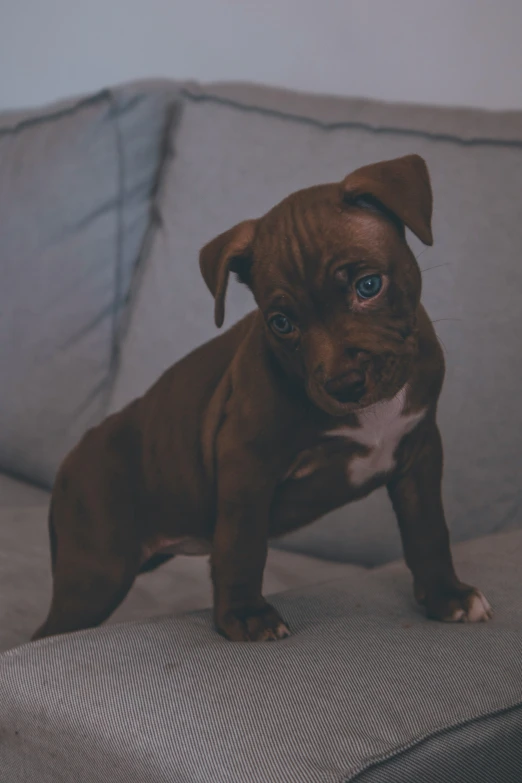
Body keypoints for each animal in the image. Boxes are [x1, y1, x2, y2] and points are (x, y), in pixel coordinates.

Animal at [33, 155, 492, 644]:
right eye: (281, 322)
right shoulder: (248, 462)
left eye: (369, 286)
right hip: (97, 571)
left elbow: (428, 528)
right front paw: (245, 614)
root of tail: (71, 459)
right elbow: (243, 543)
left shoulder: (420, 451)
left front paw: (447, 595)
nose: (344, 383)